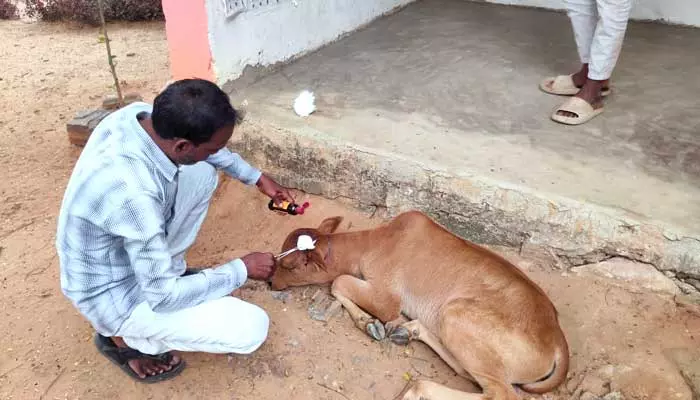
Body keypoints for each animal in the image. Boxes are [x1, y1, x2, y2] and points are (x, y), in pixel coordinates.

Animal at [268, 211, 568, 398]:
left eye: (290, 265)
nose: (270, 281)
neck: (372, 244)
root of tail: (556, 340)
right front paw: (371, 324)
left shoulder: (387, 298)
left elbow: (338, 282)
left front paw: (370, 322)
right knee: (467, 372)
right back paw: (407, 331)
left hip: (456, 315)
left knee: (501, 394)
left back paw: (419, 388)